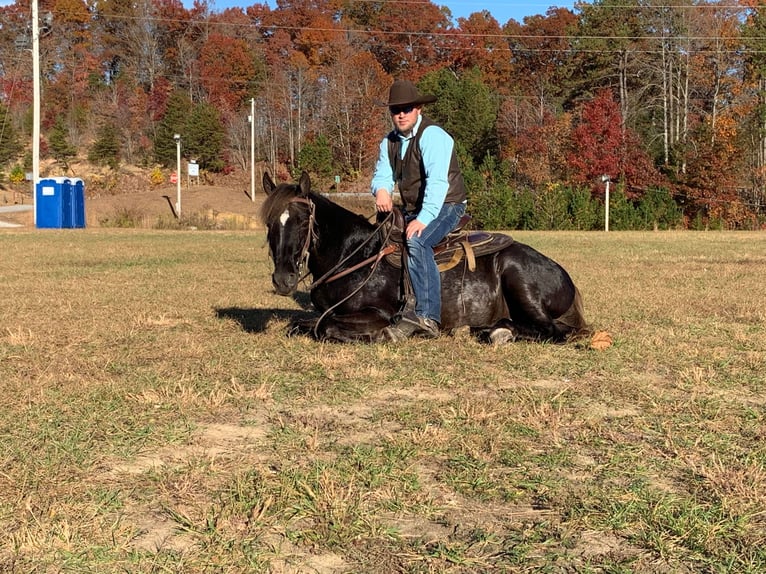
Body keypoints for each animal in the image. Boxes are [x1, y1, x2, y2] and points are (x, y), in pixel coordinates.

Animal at [260, 172, 592, 346]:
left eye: (302, 221)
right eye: (270, 222)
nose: (283, 280)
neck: (353, 258)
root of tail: (565, 277)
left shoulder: (378, 313)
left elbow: (325, 328)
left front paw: (379, 336)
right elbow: (300, 325)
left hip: (517, 276)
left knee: (552, 331)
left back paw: (498, 332)